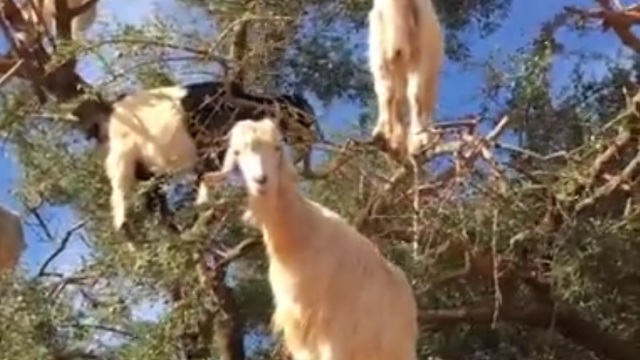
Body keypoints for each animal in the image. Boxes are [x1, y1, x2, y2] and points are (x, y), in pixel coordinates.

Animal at [202, 118, 418, 360]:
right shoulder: (299, 333)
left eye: (277, 148)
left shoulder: (333, 332)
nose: (261, 180)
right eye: (238, 153)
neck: (301, 235)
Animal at [368, 0, 442, 157]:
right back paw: (396, 141)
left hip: (431, 79)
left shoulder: (419, 58)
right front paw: (381, 133)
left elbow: (415, 95)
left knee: (424, 106)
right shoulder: (381, 58)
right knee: (397, 101)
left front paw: (418, 140)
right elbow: (386, 94)